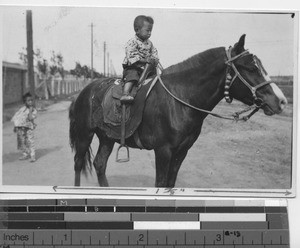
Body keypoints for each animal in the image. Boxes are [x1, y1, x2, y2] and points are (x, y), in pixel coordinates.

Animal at [68, 35, 288, 188]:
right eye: (250, 68)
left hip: (107, 137)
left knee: (99, 164)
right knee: (78, 164)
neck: (180, 99)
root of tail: (84, 92)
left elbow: (170, 184)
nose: (281, 101)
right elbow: (160, 184)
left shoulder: (181, 151)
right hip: (85, 135)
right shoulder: (163, 151)